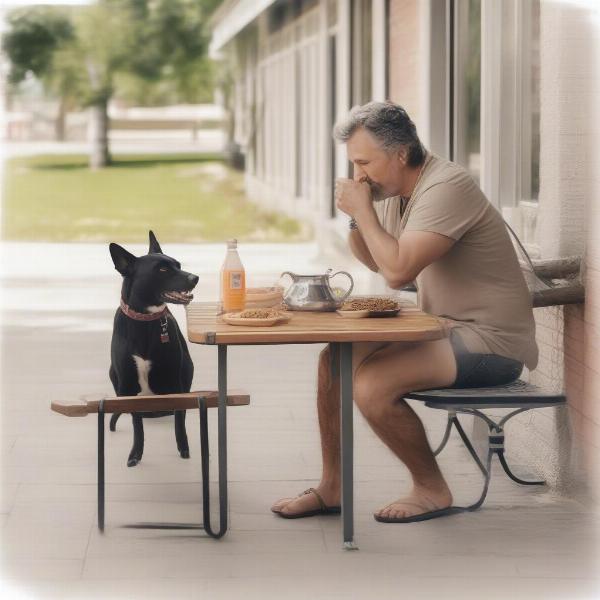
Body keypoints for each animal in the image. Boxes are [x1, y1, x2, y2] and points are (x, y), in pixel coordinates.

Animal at [108, 232, 199, 466]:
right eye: (162, 270)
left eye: (178, 265)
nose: (195, 278)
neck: (145, 321)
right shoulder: (129, 385)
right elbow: (137, 427)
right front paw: (135, 455)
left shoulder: (175, 380)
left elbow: (179, 421)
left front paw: (184, 449)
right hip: (114, 376)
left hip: (187, 368)